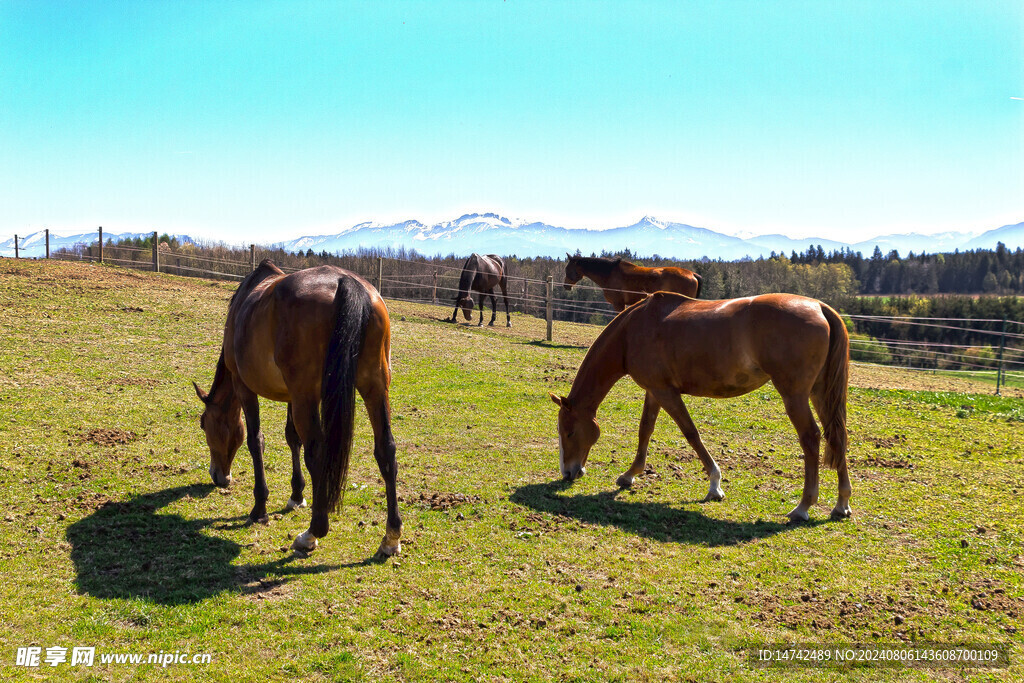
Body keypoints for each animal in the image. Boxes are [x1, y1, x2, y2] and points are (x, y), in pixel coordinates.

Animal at [193, 260, 401, 556]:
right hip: (374, 386)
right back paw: (391, 536)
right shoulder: (292, 396)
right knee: (386, 449)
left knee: (317, 453)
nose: (218, 476)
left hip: (309, 396)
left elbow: (256, 441)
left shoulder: (245, 388)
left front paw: (260, 508)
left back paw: (312, 533)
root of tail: (345, 282)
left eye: (203, 424)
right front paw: (296, 495)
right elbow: (292, 439)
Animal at [550, 291, 851, 522]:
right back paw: (842, 504)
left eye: (569, 432)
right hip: (820, 393)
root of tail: (820, 307)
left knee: (811, 438)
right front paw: (630, 475)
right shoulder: (654, 391)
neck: (633, 330)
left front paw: (715, 485)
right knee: (837, 436)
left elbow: (691, 433)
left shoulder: (666, 393)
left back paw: (803, 507)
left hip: (795, 395)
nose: (568, 473)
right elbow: (645, 430)